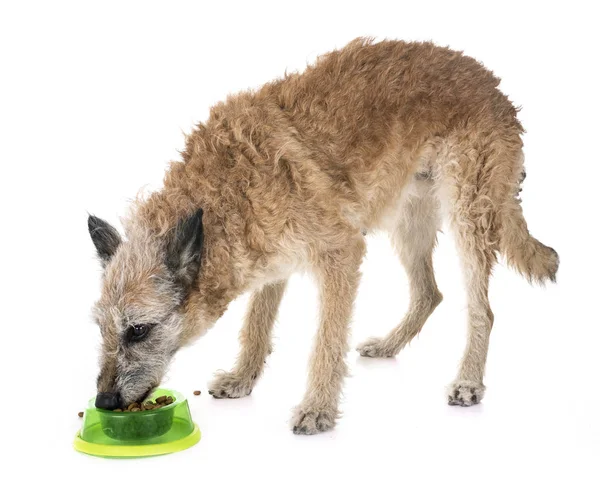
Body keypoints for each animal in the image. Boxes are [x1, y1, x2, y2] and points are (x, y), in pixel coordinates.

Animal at [88, 39, 556, 434]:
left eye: (138, 331)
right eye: (102, 329)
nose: (104, 401)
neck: (224, 193)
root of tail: (490, 82)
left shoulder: (341, 253)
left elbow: (326, 342)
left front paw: (317, 408)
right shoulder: (272, 260)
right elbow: (256, 325)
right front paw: (243, 378)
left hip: (468, 217)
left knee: (482, 310)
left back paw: (469, 380)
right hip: (409, 222)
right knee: (429, 293)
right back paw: (390, 345)